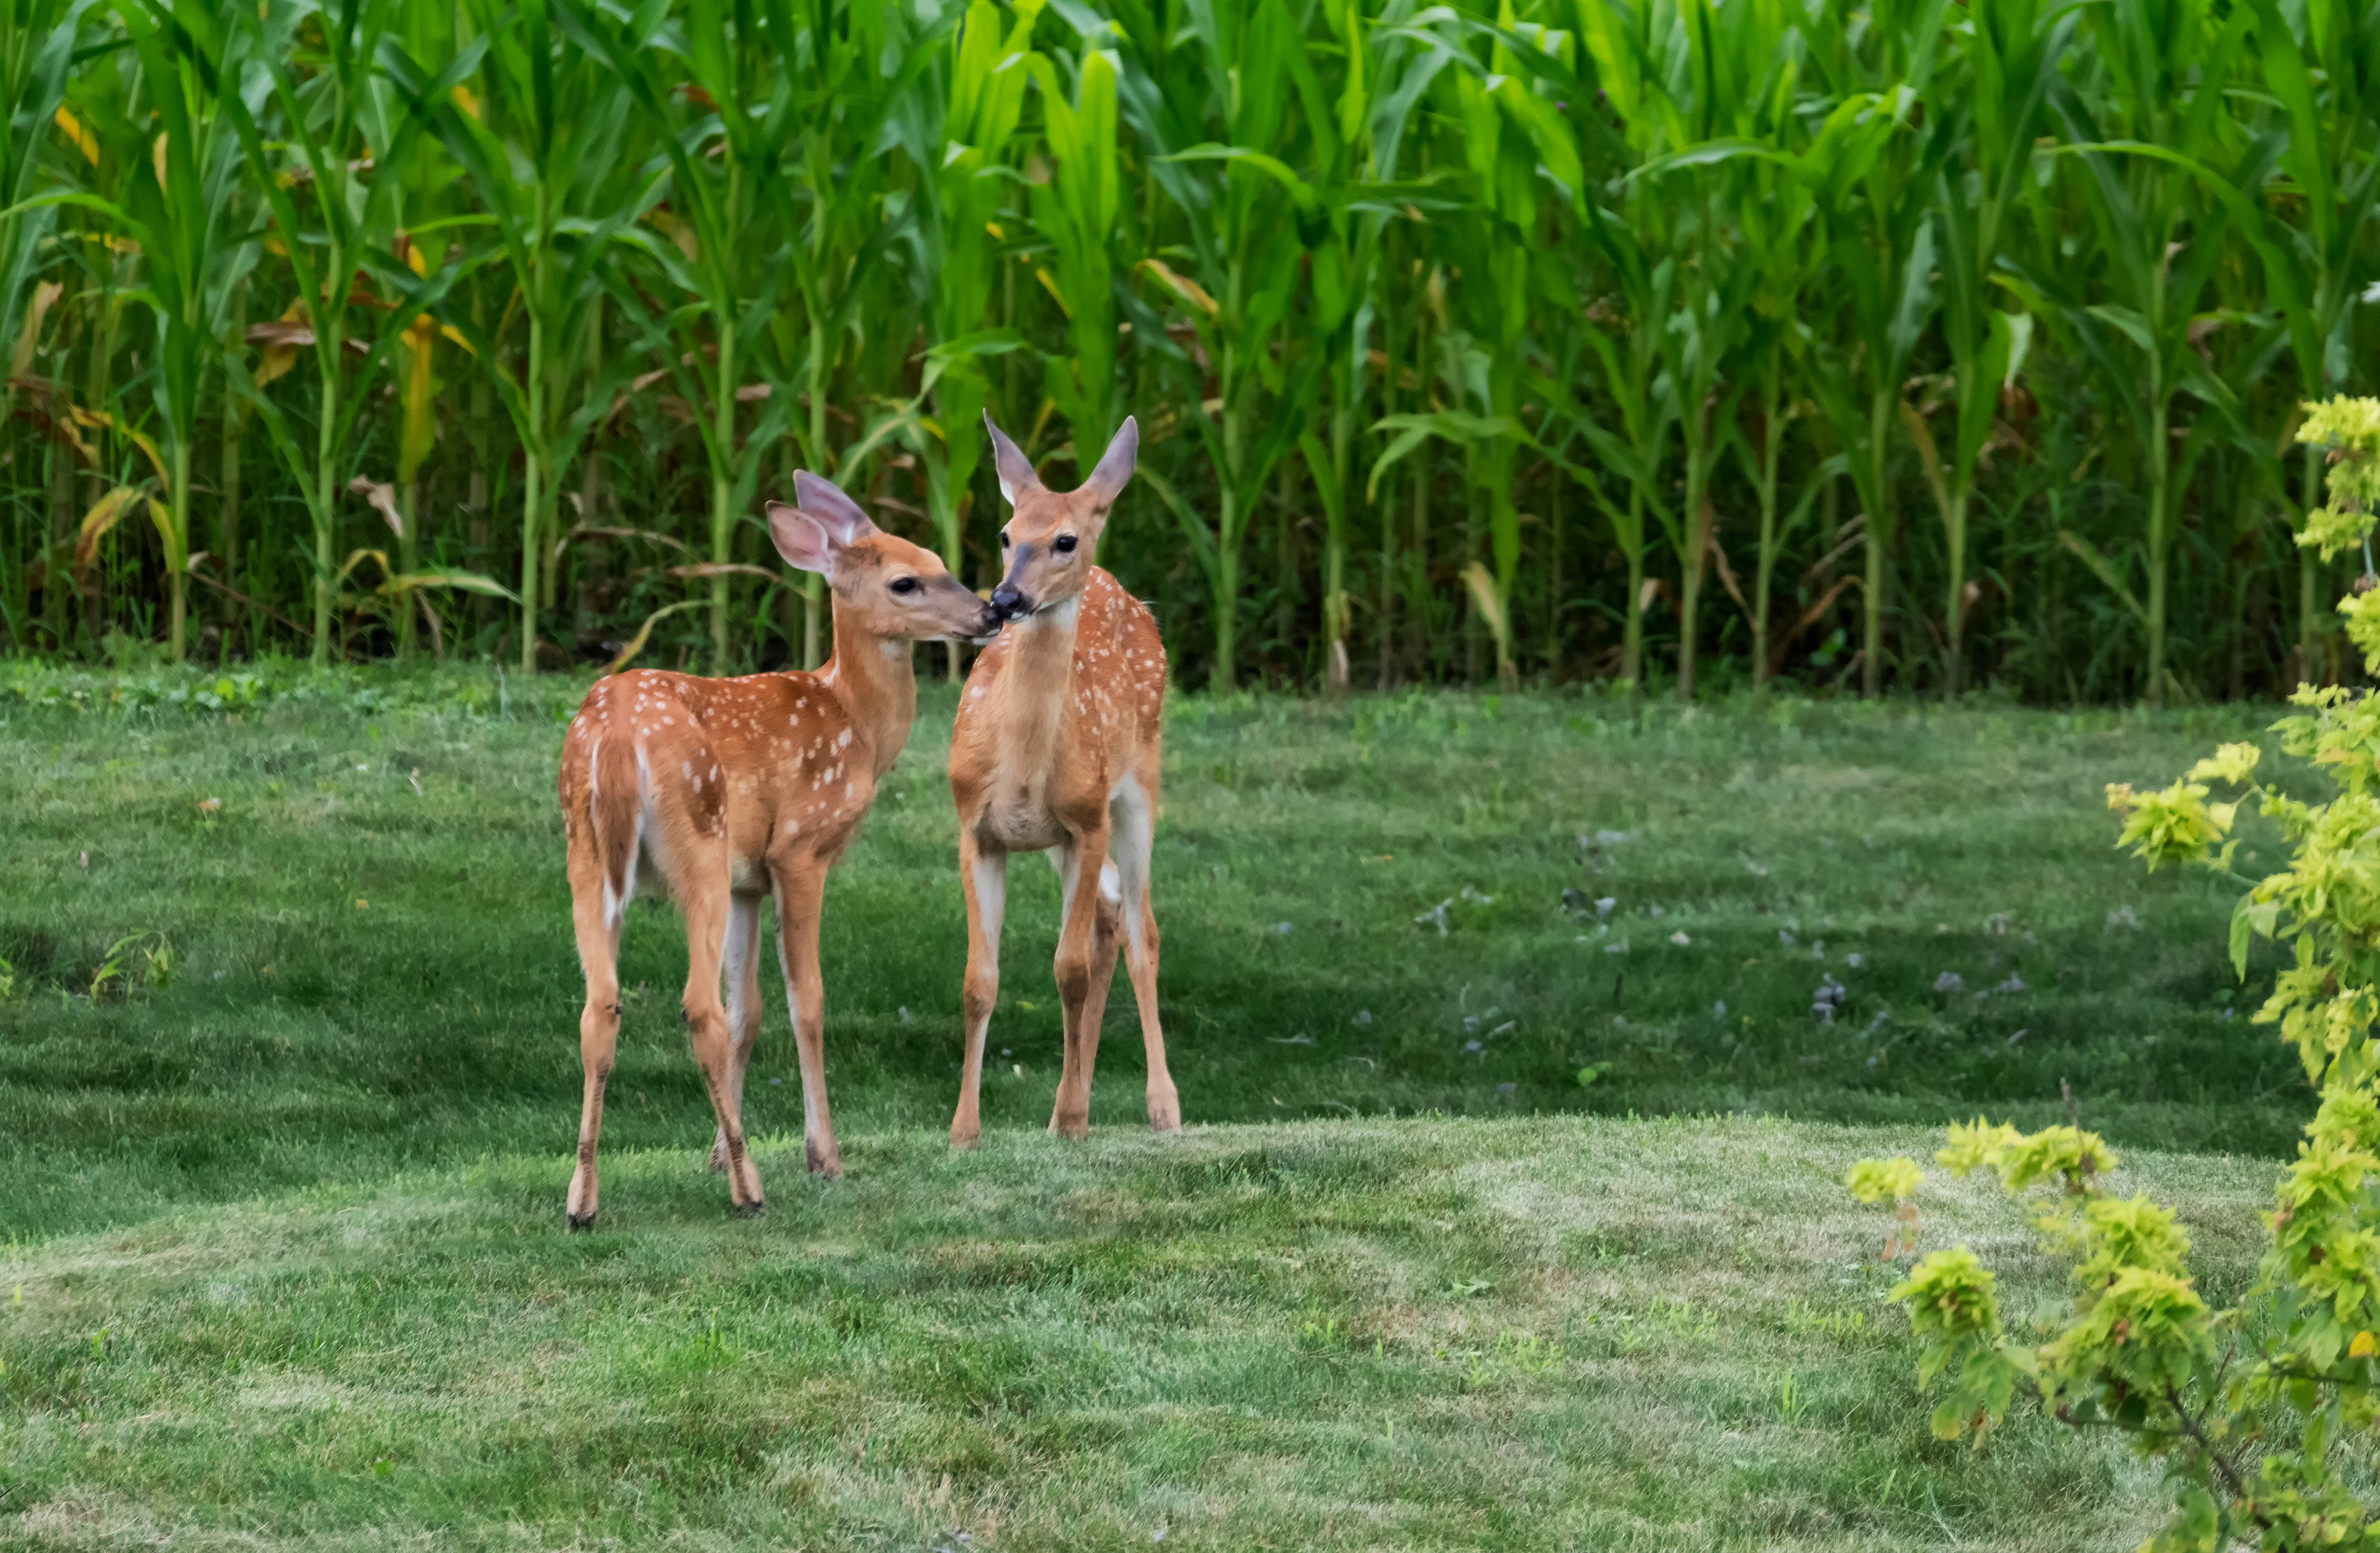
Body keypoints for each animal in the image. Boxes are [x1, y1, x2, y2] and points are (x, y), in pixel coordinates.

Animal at [556, 472, 998, 1229]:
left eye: (942, 562)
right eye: (906, 581)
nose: (992, 609)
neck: (856, 725)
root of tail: (615, 736)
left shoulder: (747, 881)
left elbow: (751, 1010)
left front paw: (713, 1149)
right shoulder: (799, 850)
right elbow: (804, 1000)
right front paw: (822, 1155)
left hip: (586, 855)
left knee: (601, 1005)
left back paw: (582, 1198)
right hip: (697, 844)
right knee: (697, 1006)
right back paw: (750, 1188)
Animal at [946, 413, 1182, 1147]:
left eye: (1064, 539)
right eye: (1004, 533)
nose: (1005, 599)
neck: (1020, 769)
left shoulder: (1086, 819)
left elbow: (1067, 971)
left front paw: (1077, 1119)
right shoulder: (975, 828)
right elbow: (978, 981)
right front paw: (964, 1130)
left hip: (1136, 790)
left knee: (1141, 931)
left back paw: (1158, 1106)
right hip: (1063, 838)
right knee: (1110, 916)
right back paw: (1061, 1105)